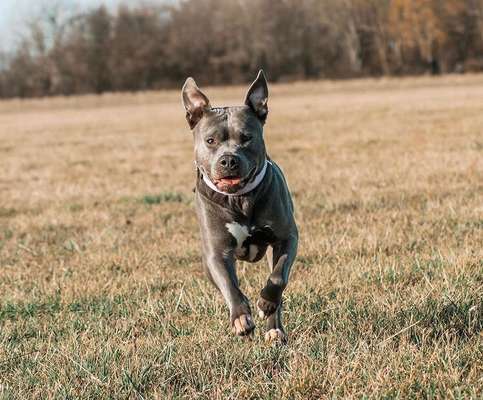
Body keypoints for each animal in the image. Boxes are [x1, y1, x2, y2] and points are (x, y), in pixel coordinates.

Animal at [182, 71, 298, 340]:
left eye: (247, 138)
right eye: (210, 140)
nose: (228, 160)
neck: (239, 199)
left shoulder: (286, 237)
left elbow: (278, 277)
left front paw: (266, 303)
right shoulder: (216, 253)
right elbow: (229, 286)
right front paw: (241, 318)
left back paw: (275, 328)